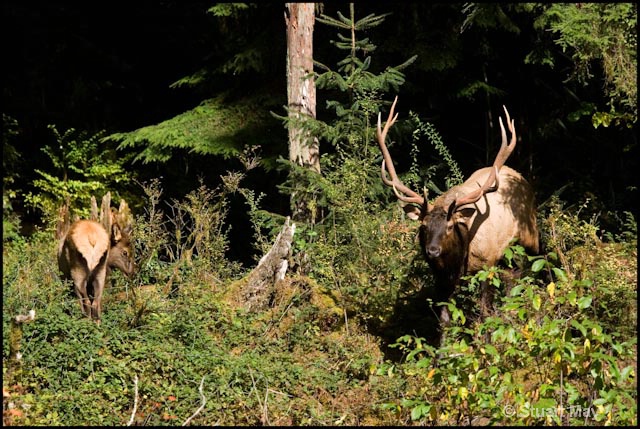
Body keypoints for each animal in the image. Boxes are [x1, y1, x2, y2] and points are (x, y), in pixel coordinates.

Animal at [56, 192, 135, 322]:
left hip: (77, 272)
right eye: (125, 252)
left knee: (86, 301)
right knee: (96, 302)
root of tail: (92, 238)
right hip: (99, 273)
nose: (132, 272)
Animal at [378, 96, 536, 342]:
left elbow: (484, 313)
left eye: (450, 226)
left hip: (531, 238)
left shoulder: (487, 264)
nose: (432, 250)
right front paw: (443, 350)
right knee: (513, 283)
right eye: (423, 226)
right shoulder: (441, 277)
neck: (459, 259)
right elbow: (444, 319)